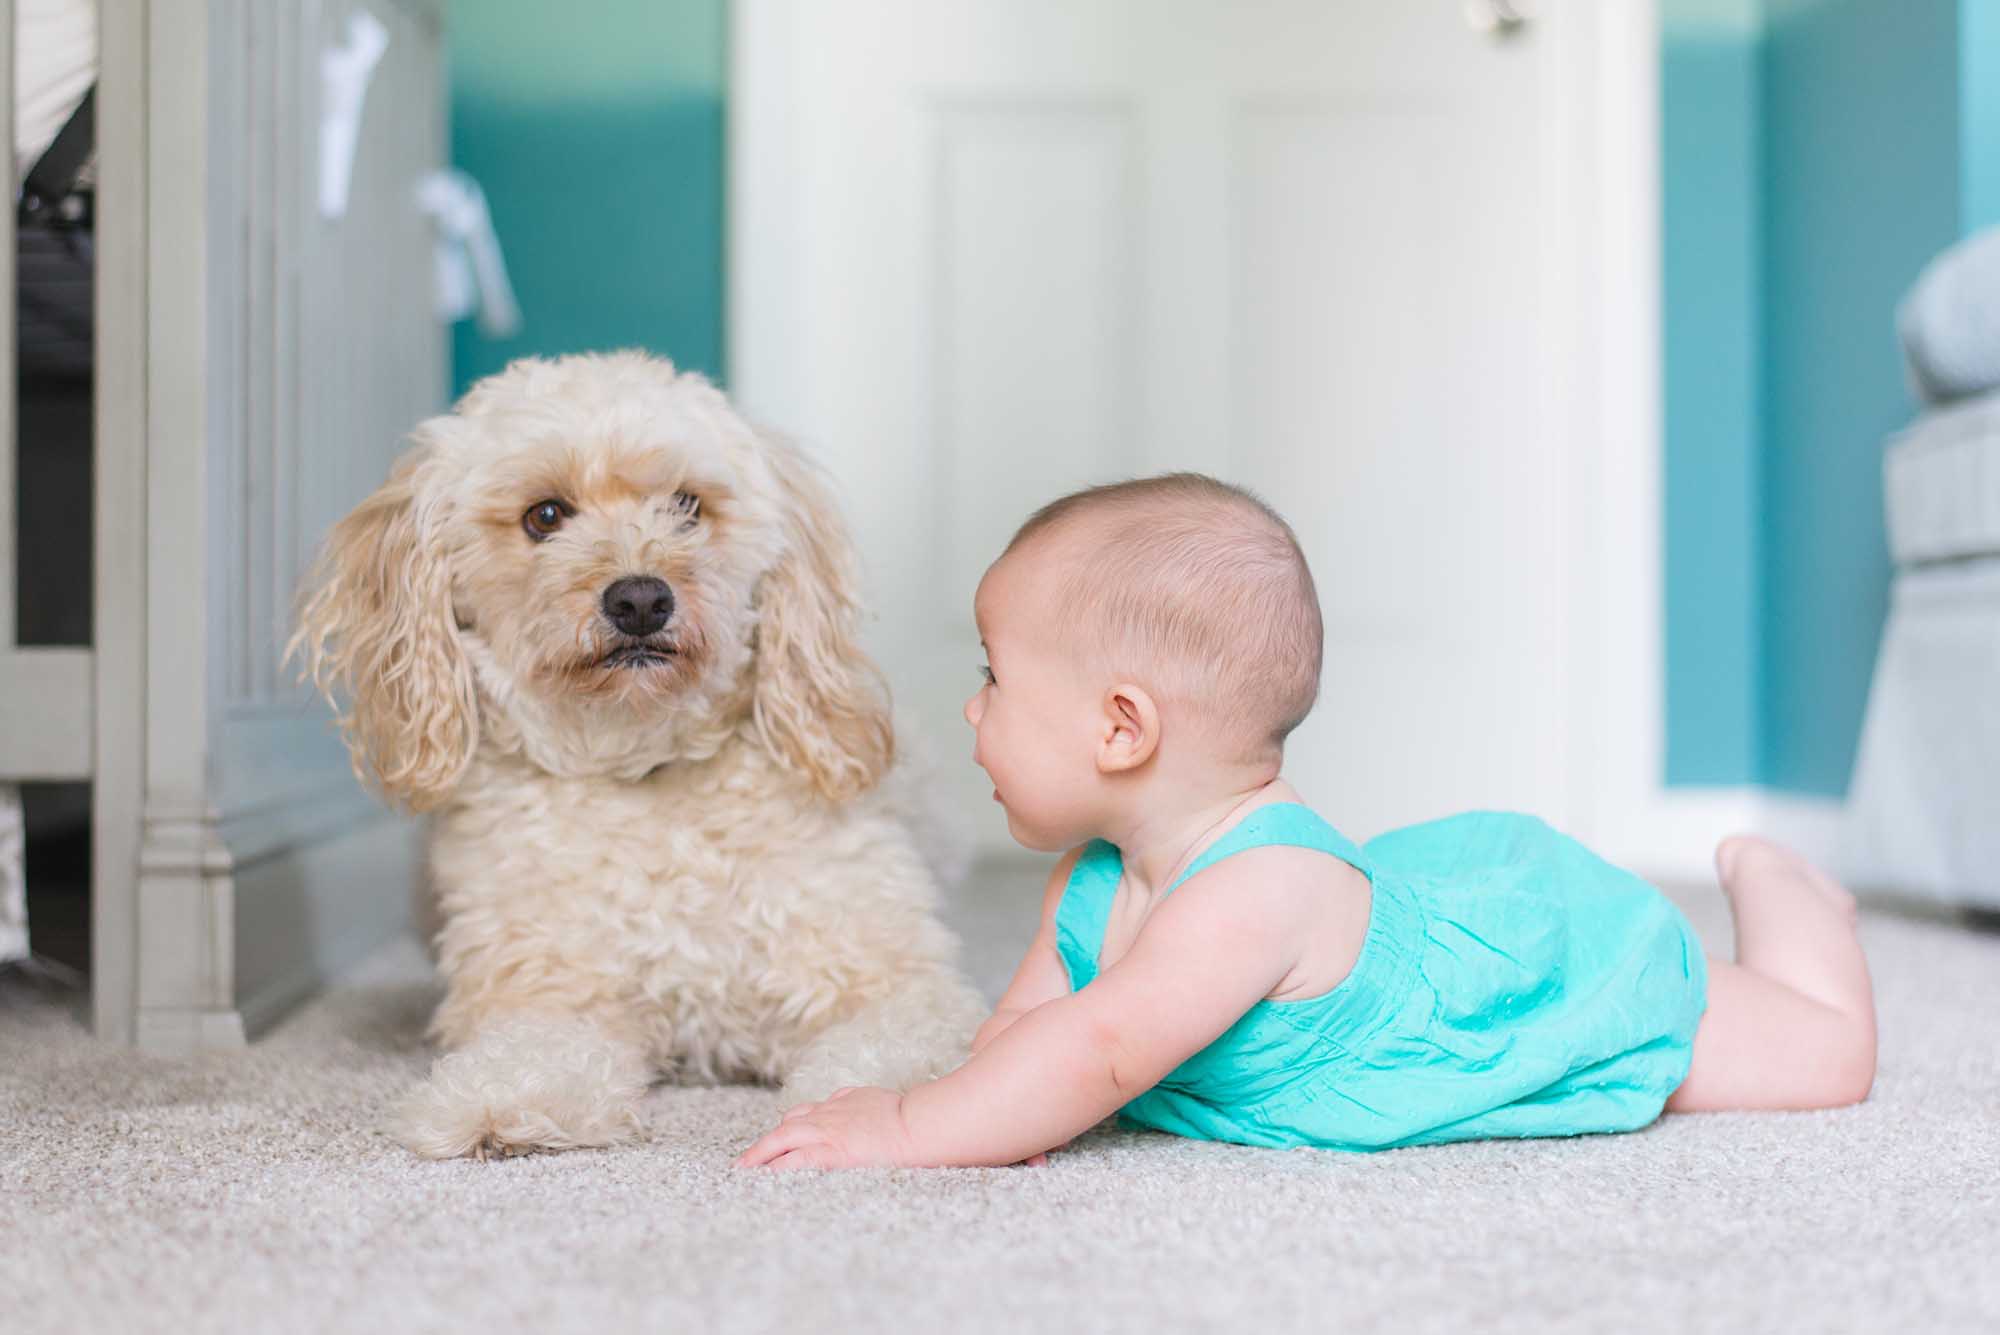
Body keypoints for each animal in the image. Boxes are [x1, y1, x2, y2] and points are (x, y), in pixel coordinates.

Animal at [288, 351, 984, 1159]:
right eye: (545, 516)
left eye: (687, 505)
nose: (641, 600)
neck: (645, 768)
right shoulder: (548, 992)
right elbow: (533, 1052)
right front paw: (501, 1102)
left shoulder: (896, 981)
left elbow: (896, 1048)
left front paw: (876, 1109)